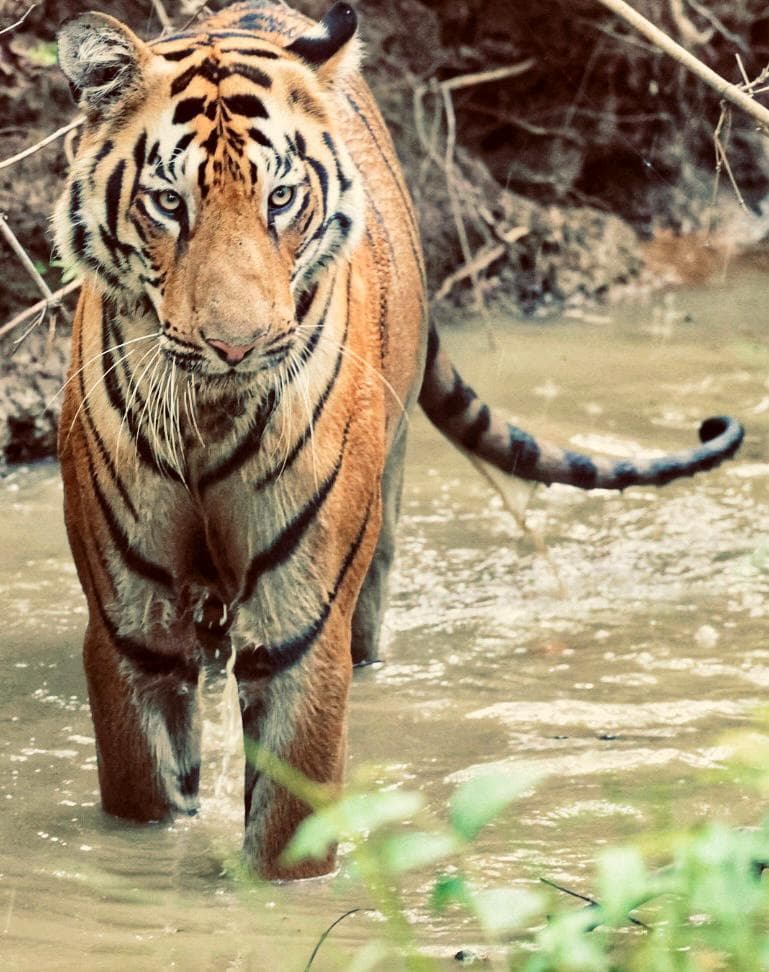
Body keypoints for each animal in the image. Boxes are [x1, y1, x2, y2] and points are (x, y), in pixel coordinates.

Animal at [53, 0, 744, 879]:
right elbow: (145, 796)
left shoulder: (300, 622)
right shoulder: (132, 627)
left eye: (281, 198)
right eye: (169, 204)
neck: (211, 415)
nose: (238, 347)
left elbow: (289, 818)